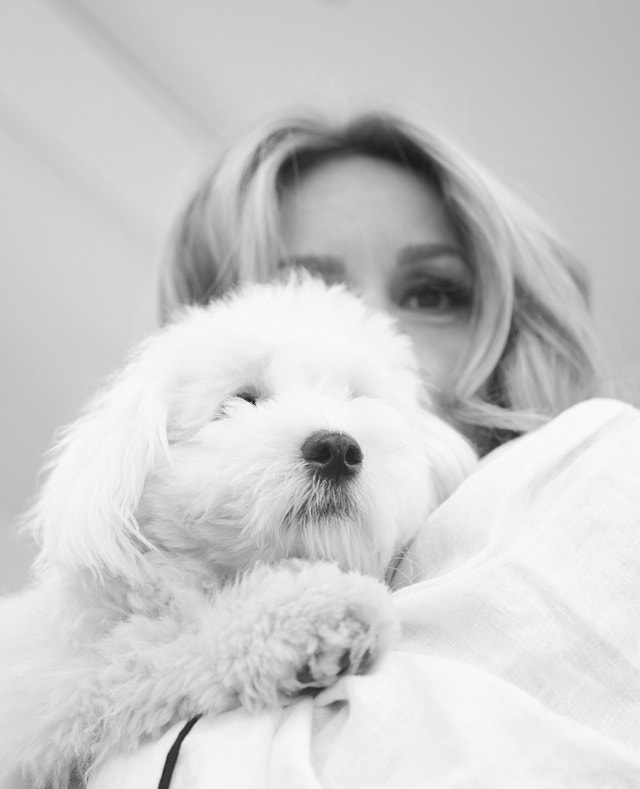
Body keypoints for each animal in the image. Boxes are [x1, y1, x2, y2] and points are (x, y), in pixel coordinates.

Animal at [0, 278, 476, 788]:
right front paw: (312, 613)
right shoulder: (55, 688)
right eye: (240, 401)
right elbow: (164, 640)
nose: (337, 449)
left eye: (358, 397)